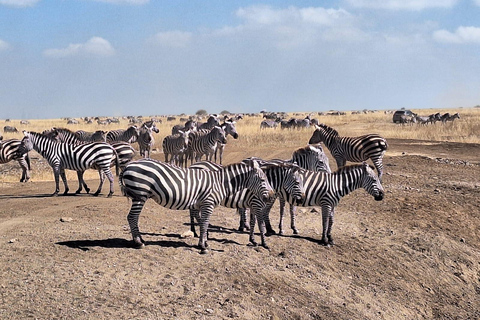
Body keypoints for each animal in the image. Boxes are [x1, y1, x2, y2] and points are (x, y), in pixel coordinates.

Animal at [118, 157, 274, 252]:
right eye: (262, 180)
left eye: (267, 179)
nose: (272, 196)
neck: (220, 183)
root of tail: (128, 165)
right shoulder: (208, 203)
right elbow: (204, 223)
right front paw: (203, 246)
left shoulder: (201, 204)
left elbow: (203, 222)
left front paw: (203, 242)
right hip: (140, 195)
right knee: (132, 217)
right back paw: (138, 242)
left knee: (132, 218)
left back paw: (139, 240)